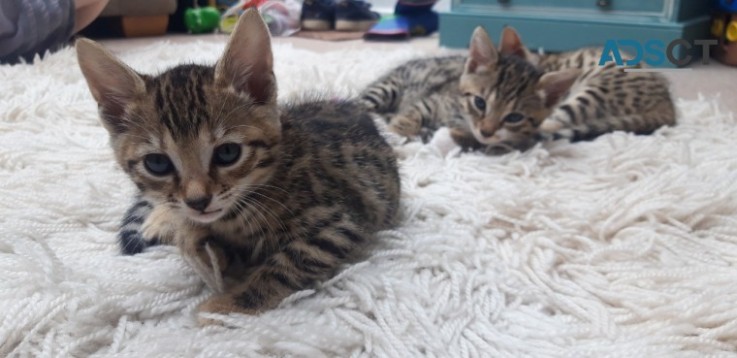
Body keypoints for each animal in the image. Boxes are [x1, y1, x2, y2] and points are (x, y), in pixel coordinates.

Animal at [77, 9, 400, 320]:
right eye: (157, 163)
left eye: (228, 153)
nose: (198, 201)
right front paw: (191, 239)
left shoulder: (338, 224)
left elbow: (284, 266)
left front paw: (223, 307)